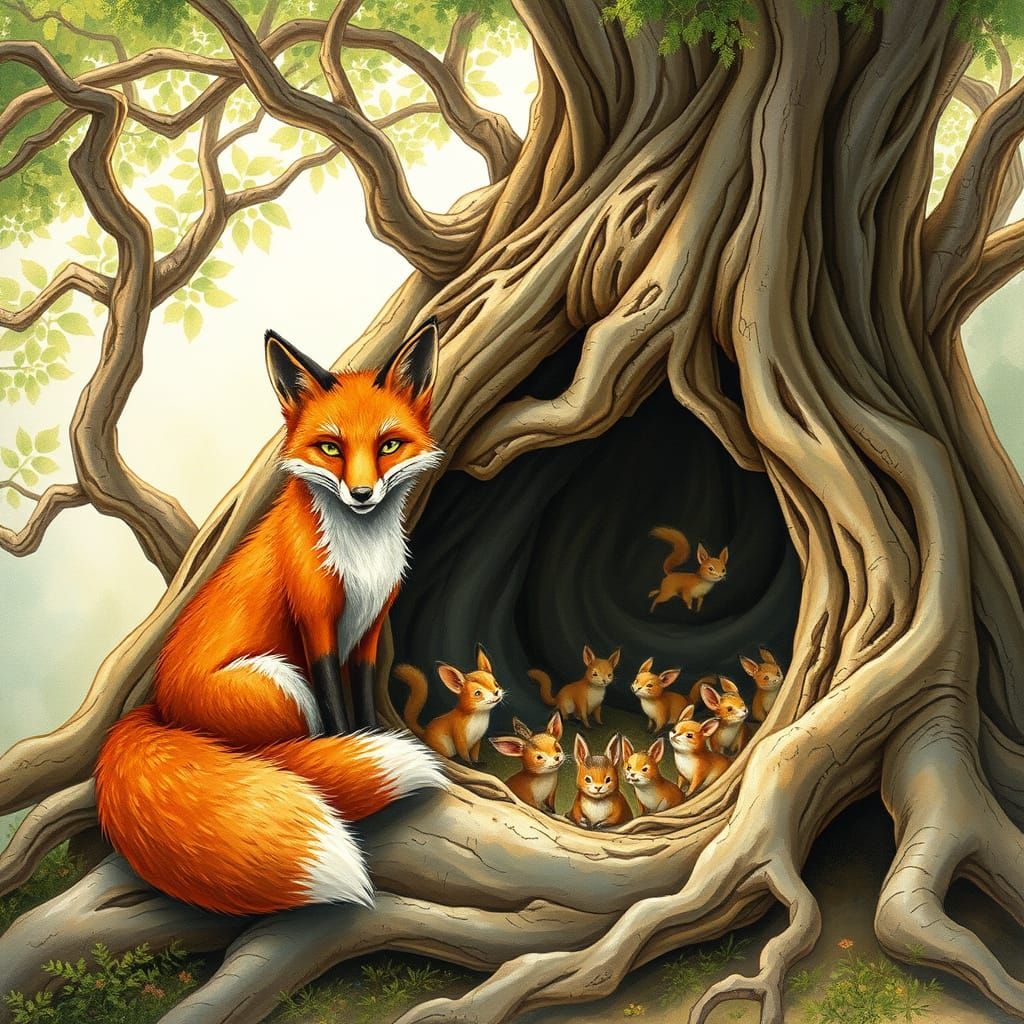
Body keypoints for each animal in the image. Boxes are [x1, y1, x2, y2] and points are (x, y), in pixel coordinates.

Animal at [94, 320, 447, 916]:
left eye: (388, 445)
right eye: (330, 448)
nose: (361, 494)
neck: (362, 559)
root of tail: (158, 710)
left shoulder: (370, 630)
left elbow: (363, 700)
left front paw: (370, 736)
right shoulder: (316, 625)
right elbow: (338, 716)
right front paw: (350, 750)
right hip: (281, 681)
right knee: (275, 754)